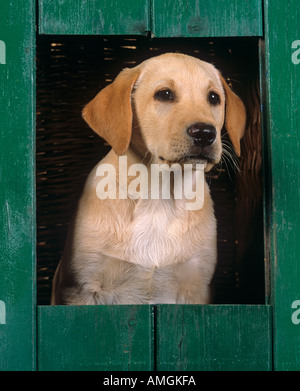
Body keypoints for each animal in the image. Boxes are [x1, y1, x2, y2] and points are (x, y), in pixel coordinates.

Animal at [50, 53, 245, 306]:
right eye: (164, 94)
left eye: (214, 98)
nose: (205, 133)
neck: (159, 197)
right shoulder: (80, 289)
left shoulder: (196, 288)